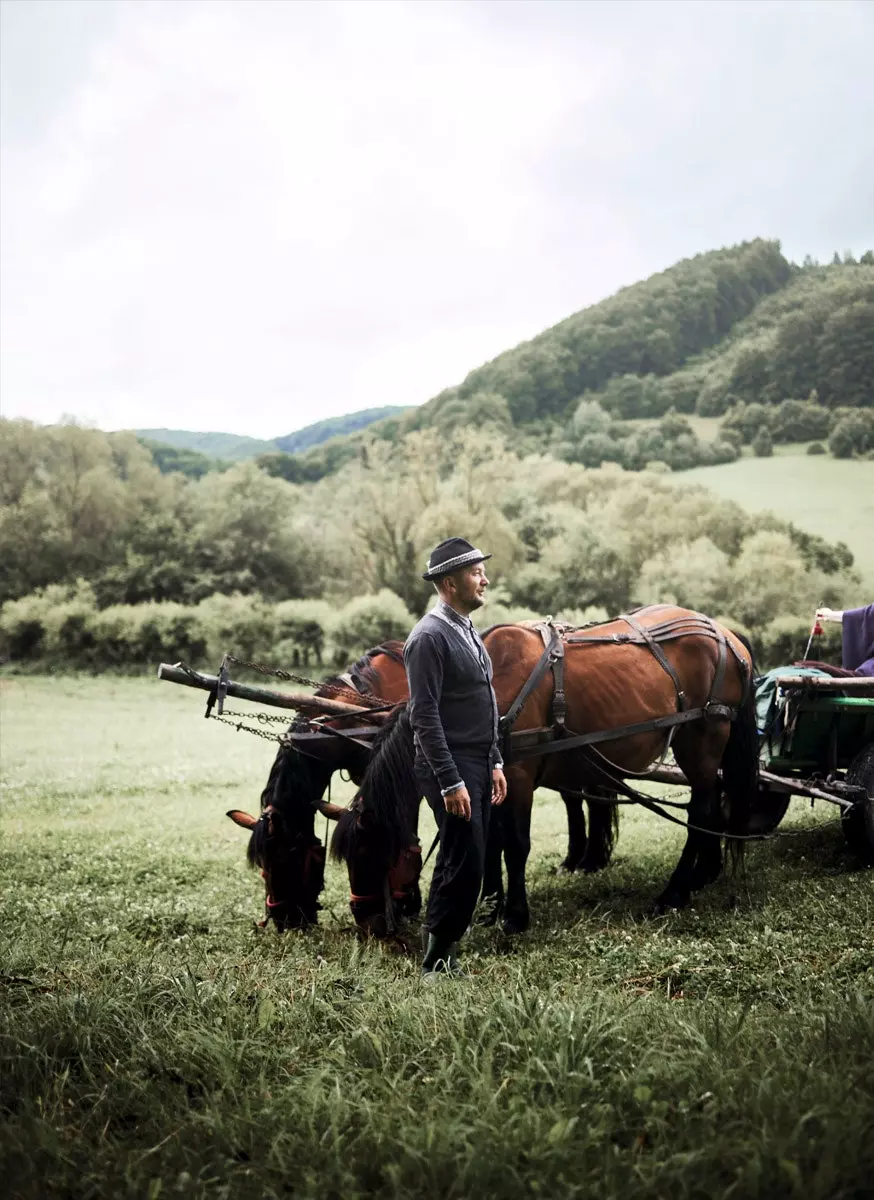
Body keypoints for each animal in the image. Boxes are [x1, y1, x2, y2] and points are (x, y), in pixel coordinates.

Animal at [331, 604, 763, 931]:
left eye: (368, 851)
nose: (366, 920)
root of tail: (727, 636)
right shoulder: (491, 780)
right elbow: (490, 840)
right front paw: (489, 904)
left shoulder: (519, 777)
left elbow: (515, 845)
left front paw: (514, 915)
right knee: (711, 801)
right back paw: (705, 872)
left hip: (702, 741)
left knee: (701, 810)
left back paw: (675, 891)